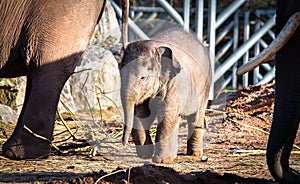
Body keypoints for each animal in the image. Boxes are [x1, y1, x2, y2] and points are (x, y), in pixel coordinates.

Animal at [119, 27, 211, 164]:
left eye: (143, 77)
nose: (124, 143)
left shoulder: (175, 84)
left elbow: (168, 114)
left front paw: (162, 161)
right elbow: (141, 113)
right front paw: (146, 155)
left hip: (205, 86)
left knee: (196, 116)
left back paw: (195, 154)